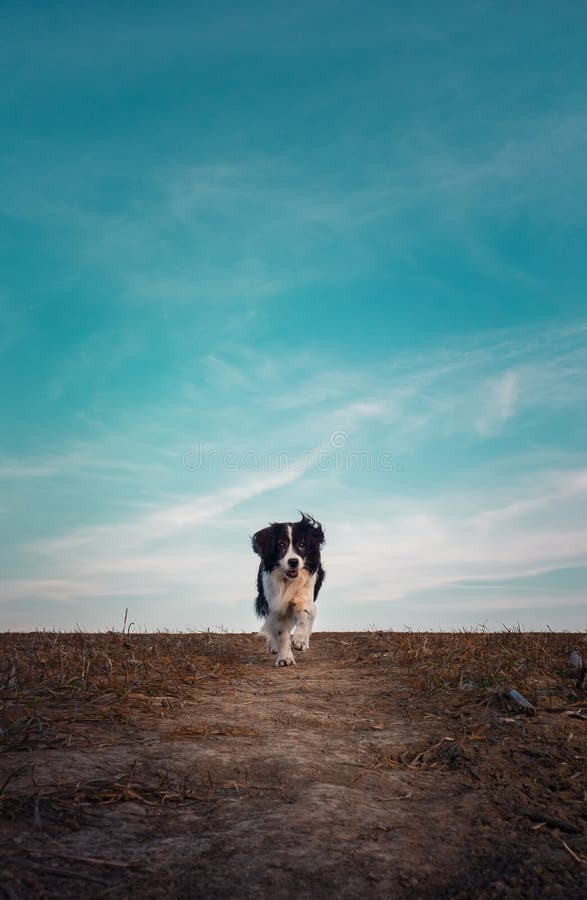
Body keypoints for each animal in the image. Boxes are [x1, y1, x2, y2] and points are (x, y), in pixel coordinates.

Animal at [252, 510, 326, 664]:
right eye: (281, 545)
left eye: (302, 544)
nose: (293, 561)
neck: (288, 580)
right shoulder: (275, 603)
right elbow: (281, 631)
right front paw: (285, 658)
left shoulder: (305, 595)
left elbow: (305, 614)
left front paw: (299, 640)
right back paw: (274, 646)